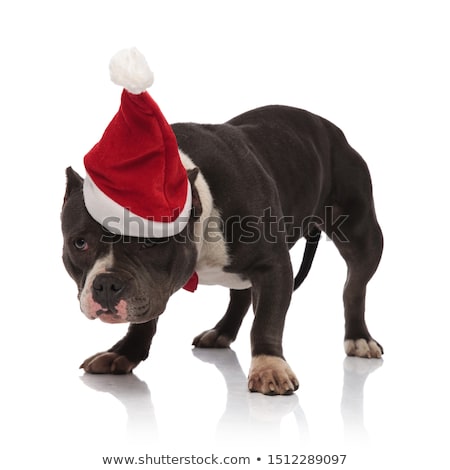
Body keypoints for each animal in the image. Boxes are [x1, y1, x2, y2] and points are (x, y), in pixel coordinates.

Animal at [60, 104, 384, 394]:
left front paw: (269, 366)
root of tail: (329, 126)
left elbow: (267, 320)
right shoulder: (152, 286)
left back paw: (359, 338)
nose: (106, 284)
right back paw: (222, 332)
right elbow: (143, 320)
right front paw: (125, 352)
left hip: (362, 236)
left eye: (149, 241)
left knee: (354, 287)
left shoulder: (273, 266)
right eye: (80, 243)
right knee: (240, 294)